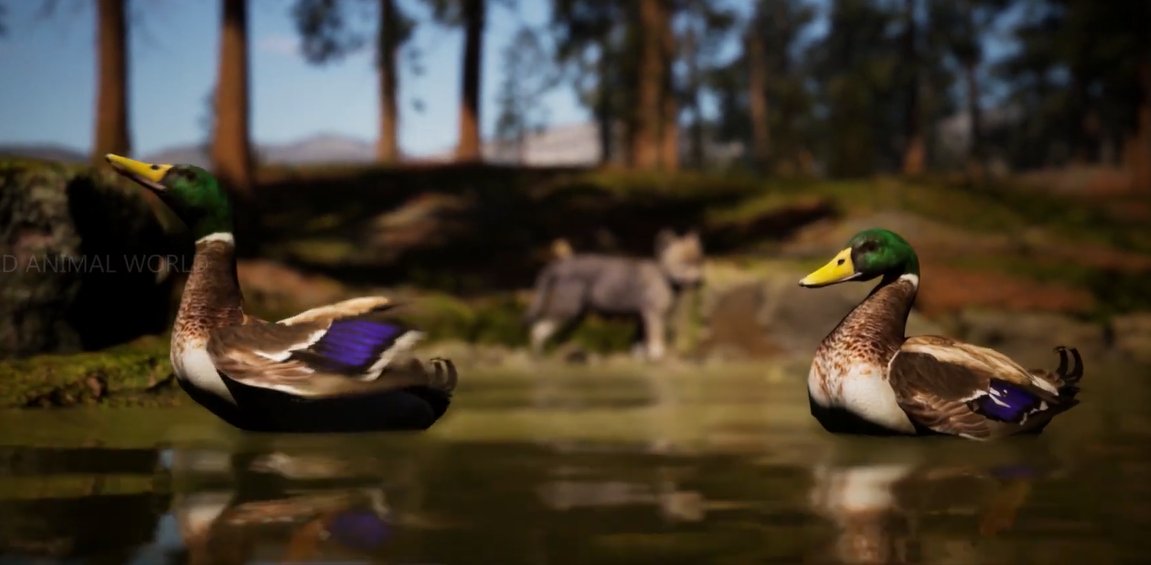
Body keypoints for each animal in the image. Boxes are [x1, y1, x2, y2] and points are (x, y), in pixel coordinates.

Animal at [524, 230, 706, 361]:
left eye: (699, 261)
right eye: (683, 264)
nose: (700, 283)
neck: (664, 277)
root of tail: (559, 267)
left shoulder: (641, 316)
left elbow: (639, 343)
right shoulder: (653, 314)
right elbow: (656, 337)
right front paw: (657, 356)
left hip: (575, 315)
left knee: (550, 335)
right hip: (567, 310)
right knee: (537, 331)